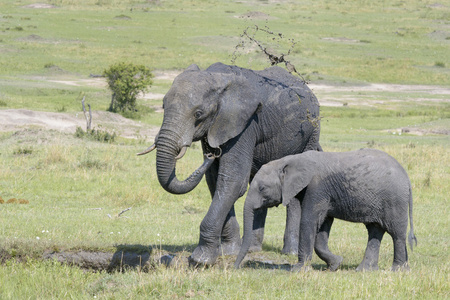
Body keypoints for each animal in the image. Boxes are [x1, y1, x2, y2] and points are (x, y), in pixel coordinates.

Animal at [139, 62, 322, 266]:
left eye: (198, 114)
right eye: (163, 106)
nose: (211, 155)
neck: (217, 79)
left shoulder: (245, 125)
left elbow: (233, 181)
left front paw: (200, 260)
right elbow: (215, 181)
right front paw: (229, 251)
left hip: (311, 134)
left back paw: (289, 252)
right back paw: (253, 249)